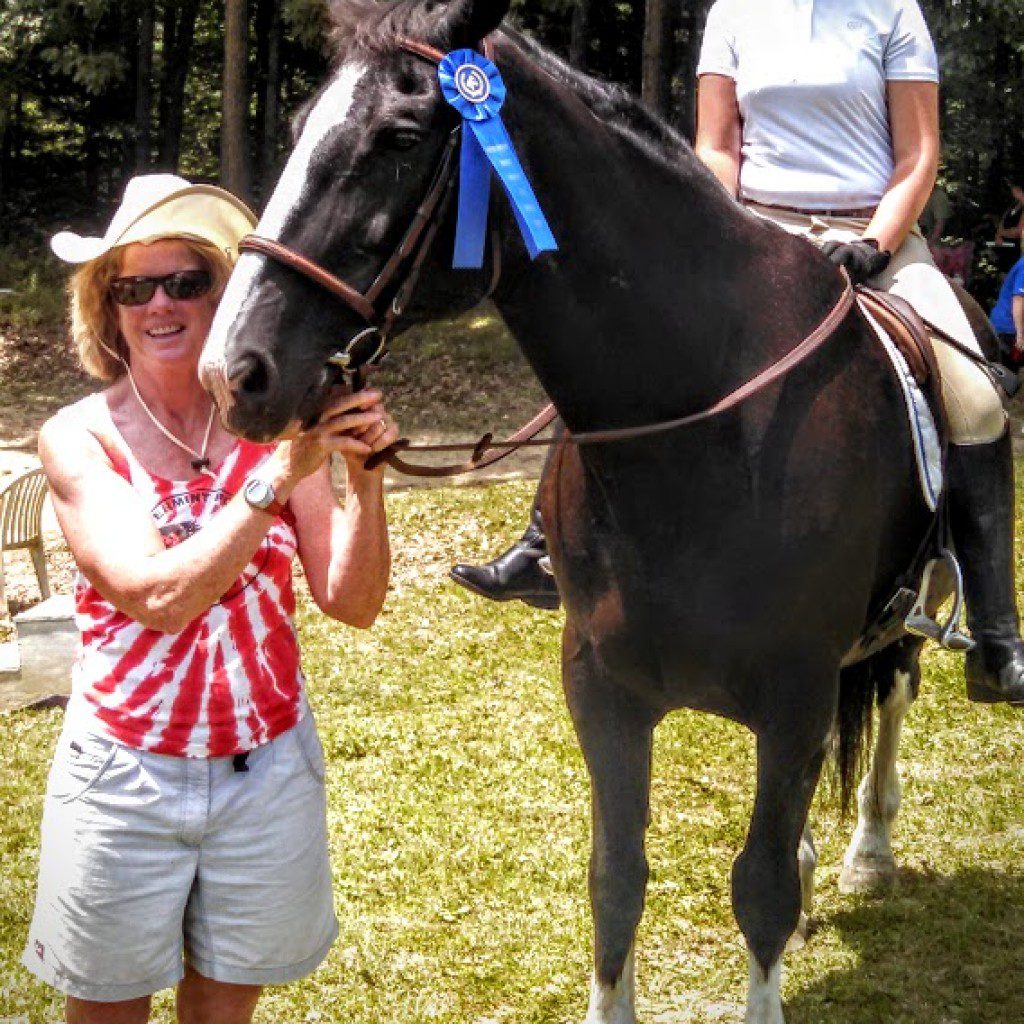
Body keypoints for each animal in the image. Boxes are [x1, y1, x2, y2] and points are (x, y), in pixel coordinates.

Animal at [201, 4, 966, 1019]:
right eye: (297, 131)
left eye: (399, 138)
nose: (232, 372)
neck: (704, 428)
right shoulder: (601, 688)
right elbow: (616, 880)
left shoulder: (796, 689)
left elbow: (759, 890)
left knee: (895, 694)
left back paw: (870, 849)